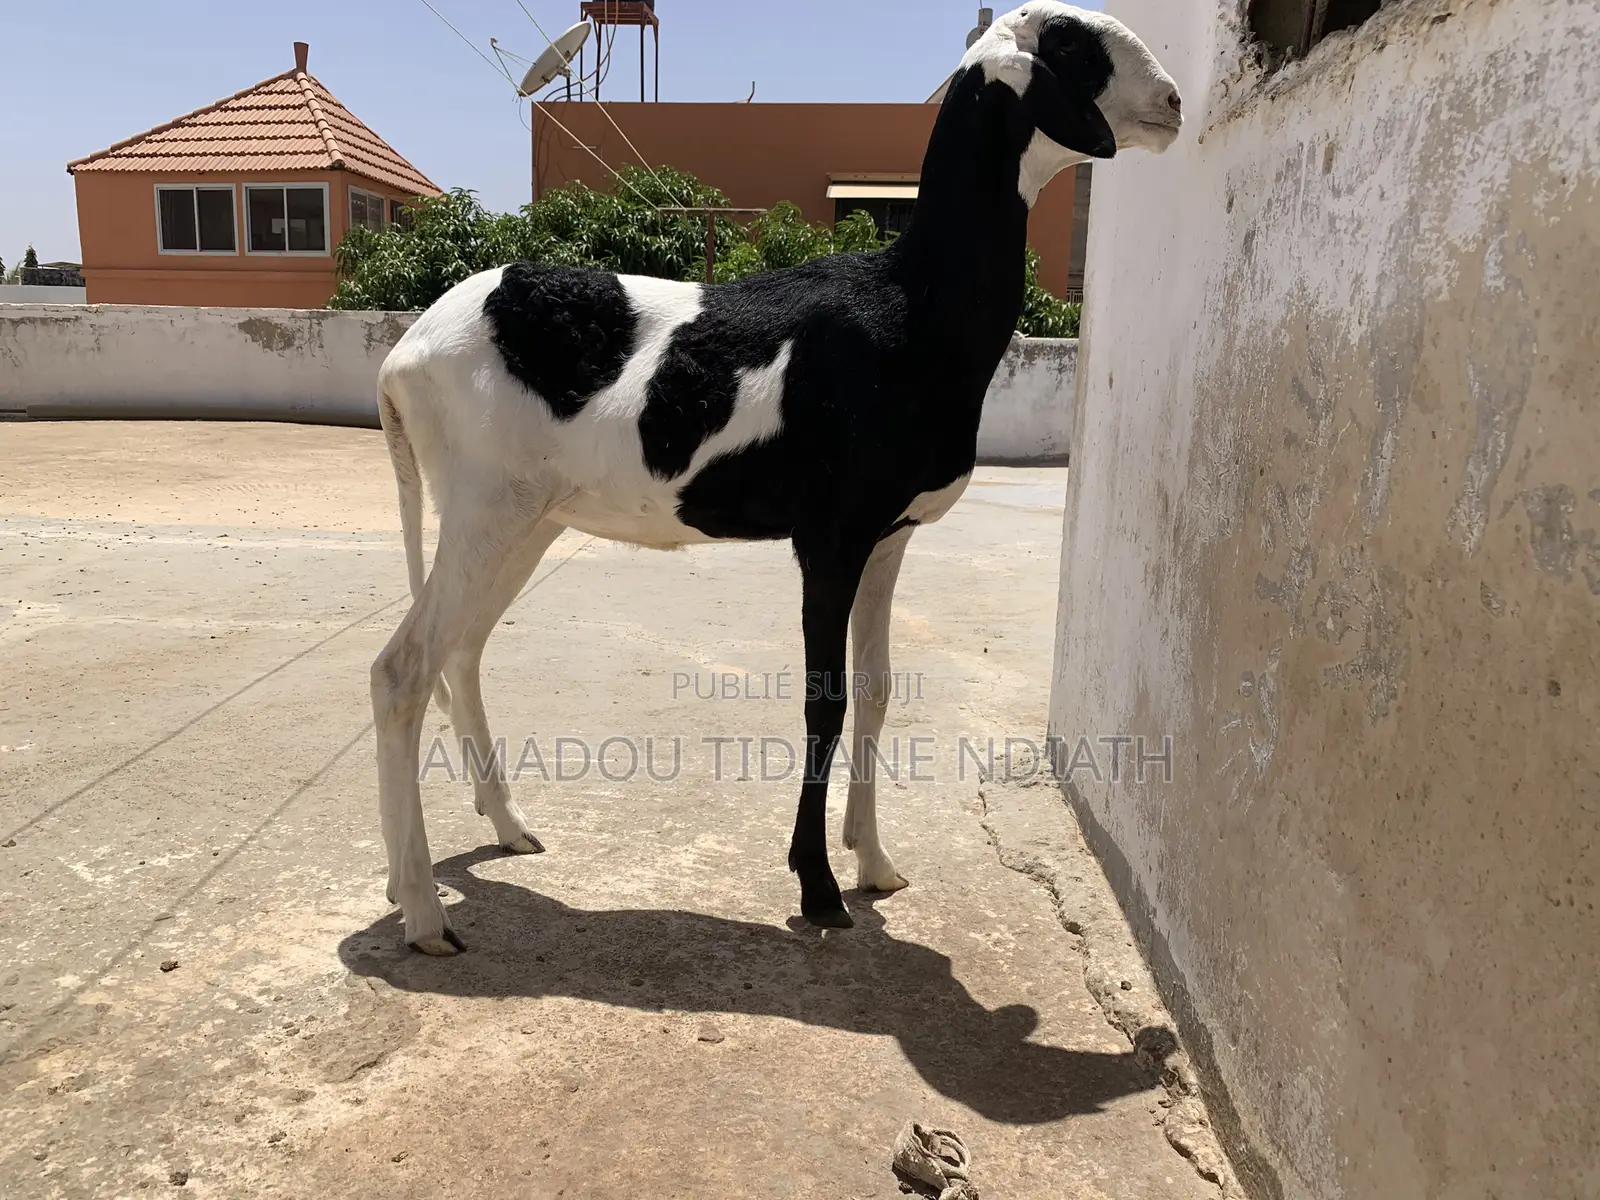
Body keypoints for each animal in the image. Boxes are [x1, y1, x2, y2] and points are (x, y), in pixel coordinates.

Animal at [371, 2, 1183, 954]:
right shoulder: (829, 538)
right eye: (1073, 44)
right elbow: (823, 702)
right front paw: (819, 888)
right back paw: (424, 912)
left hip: (527, 519)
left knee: (460, 653)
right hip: (482, 510)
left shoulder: (888, 538)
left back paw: (499, 833)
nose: (1174, 102)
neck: (910, 303)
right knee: (403, 671)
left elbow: (875, 692)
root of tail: (404, 352)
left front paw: (875, 863)